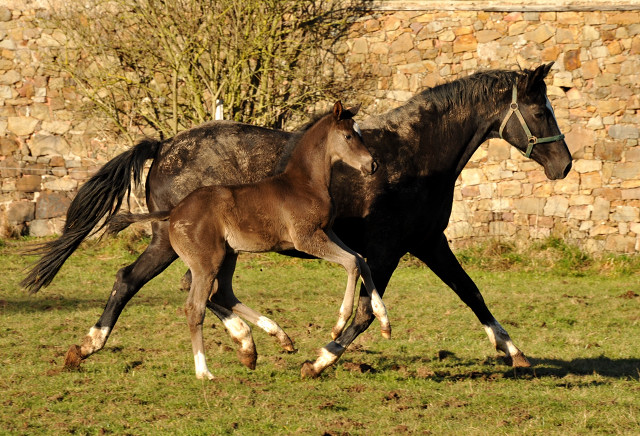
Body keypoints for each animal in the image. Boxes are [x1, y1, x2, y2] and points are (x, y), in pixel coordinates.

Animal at [109, 101, 390, 378]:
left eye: (360, 134)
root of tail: (175, 210)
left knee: (223, 293)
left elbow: (360, 261)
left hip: (229, 254)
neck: (305, 184)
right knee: (195, 306)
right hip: (207, 262)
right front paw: (339, 324)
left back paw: (276, 338)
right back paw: (204, 371)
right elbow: (352, 264)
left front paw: (384, 321)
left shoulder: (327, 232)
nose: (372, 165)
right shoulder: (307, 238)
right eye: (348, 136)